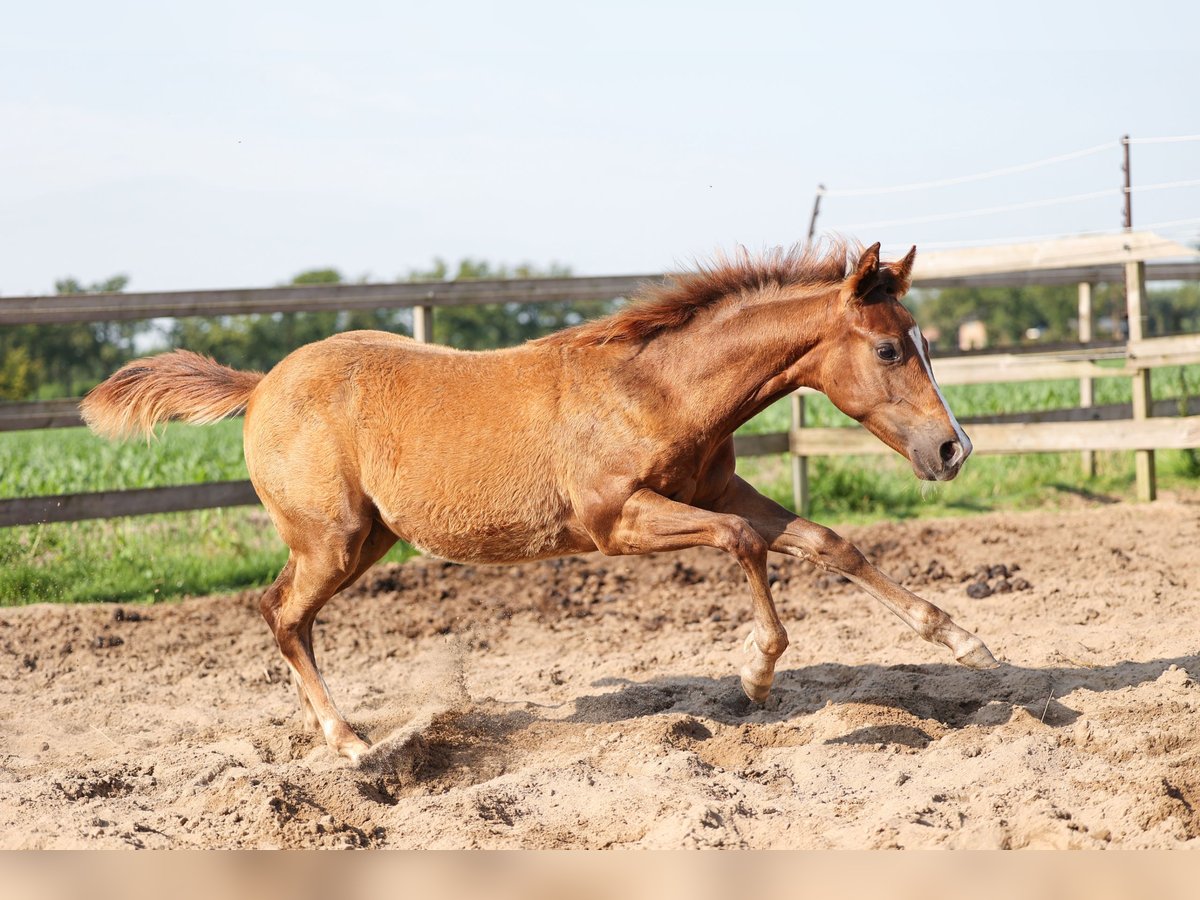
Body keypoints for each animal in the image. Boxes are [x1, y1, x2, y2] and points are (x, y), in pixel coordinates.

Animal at [77, 240, 993, 763]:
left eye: (923, 341)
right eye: (888, 349)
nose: (954, 449)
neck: (655, 391)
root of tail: (262, 382)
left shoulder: (714, 487)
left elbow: (830, 542)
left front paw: (965, 640)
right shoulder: (617, 522)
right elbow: (742, 541)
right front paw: (758, 673)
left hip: (366, 541)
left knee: (287, 615)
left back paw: (333, 733)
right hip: (331, 539)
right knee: (279, 613)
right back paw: (349, 743)